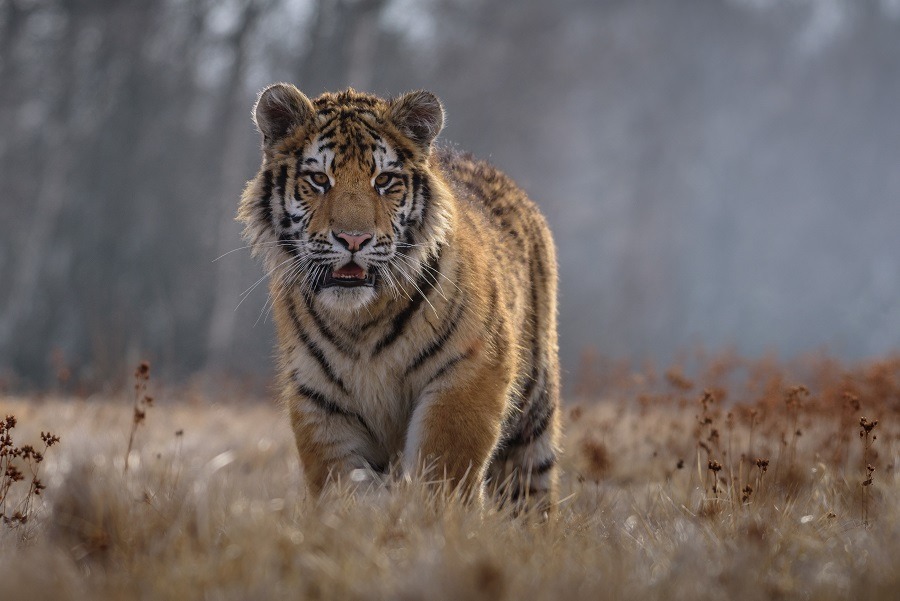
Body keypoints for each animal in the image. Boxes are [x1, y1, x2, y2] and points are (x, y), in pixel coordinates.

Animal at [239, 82, 564, 508]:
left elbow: (445, 475)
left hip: (533, 414)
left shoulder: (468, 374)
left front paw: (436, 520)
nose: (353, 239)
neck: (359, 321)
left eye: (384, 180)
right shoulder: (319, 399)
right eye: (319, 179)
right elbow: (343, 489)